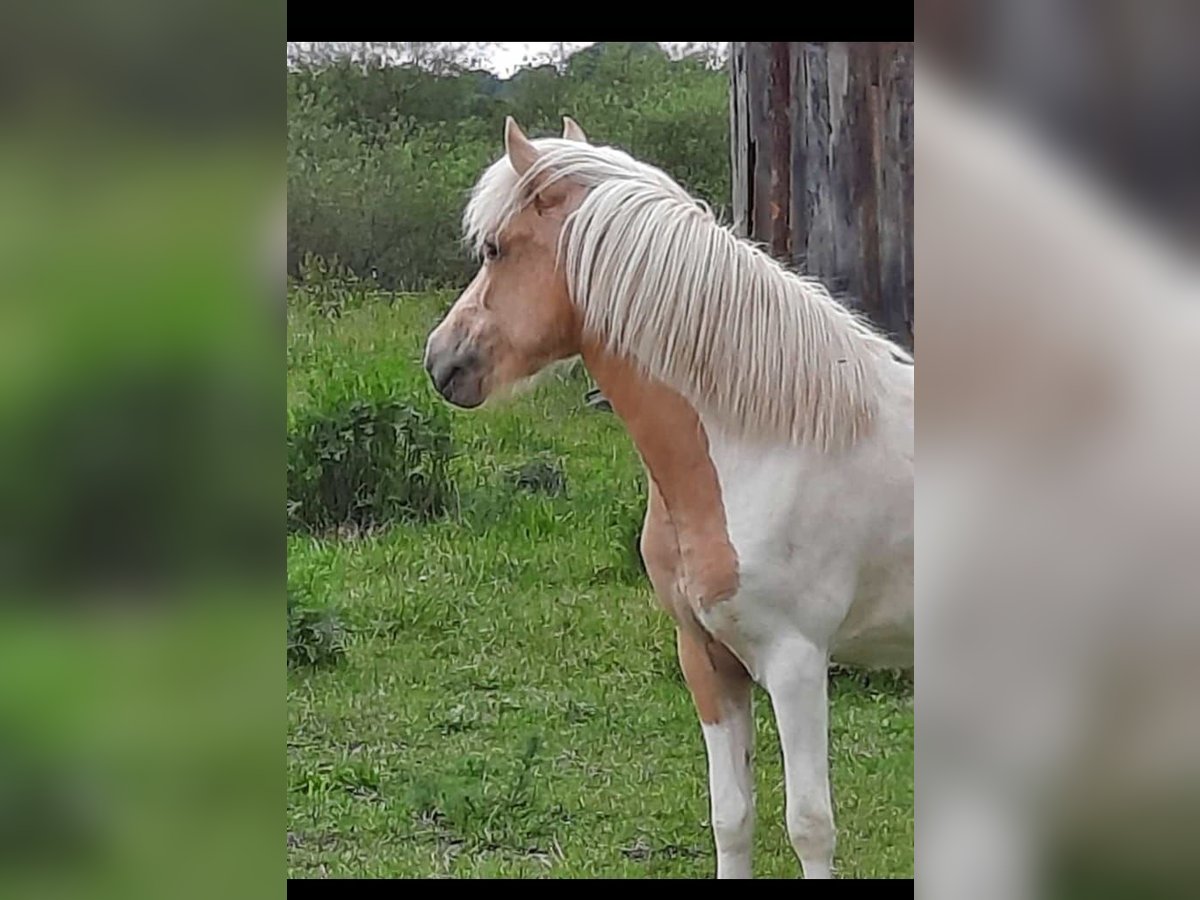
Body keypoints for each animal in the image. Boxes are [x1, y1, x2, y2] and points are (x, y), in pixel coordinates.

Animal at [422, 114, 907, 883]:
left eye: (495, 249)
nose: (441, 360)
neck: (764, 443)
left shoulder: (797, 663)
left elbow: (809, 825)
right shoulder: (707, 658)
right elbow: (733, 818)